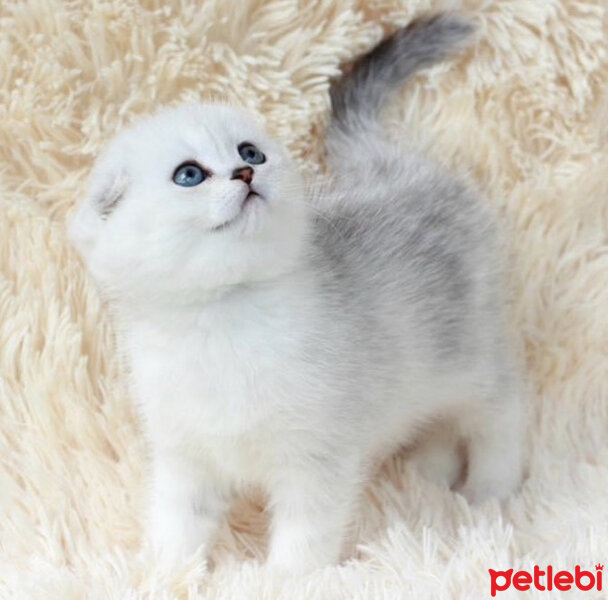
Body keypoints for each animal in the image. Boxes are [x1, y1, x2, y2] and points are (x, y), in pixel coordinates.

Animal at [69, 16, 528, 576]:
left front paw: (287, 580)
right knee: (438, 423)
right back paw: (427, 475)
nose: (246, 173)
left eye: (250, 151)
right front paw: (163, 574)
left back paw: (491, 489)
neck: (222, 323)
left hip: (471, 358)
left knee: (502, 411)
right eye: (189, 174)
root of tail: (395, 165)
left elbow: (305, 537)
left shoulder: (316, 459)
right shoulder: (186, 460)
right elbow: (177, 525)